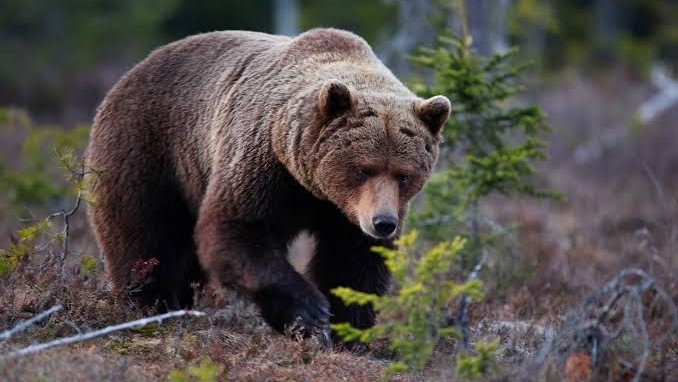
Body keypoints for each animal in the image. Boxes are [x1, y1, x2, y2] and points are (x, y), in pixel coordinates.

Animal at [87, 29, 454, 338]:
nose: (383, 223)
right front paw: (311, 313)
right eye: (363, 170)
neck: (314, 188)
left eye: (404, 175)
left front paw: (347, 328)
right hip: (148, 149)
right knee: (145, 237)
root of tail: (135, 68)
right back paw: (148, 305)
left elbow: (352, 261)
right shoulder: (265, 165)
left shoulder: (345, 213)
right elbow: (237, 231)